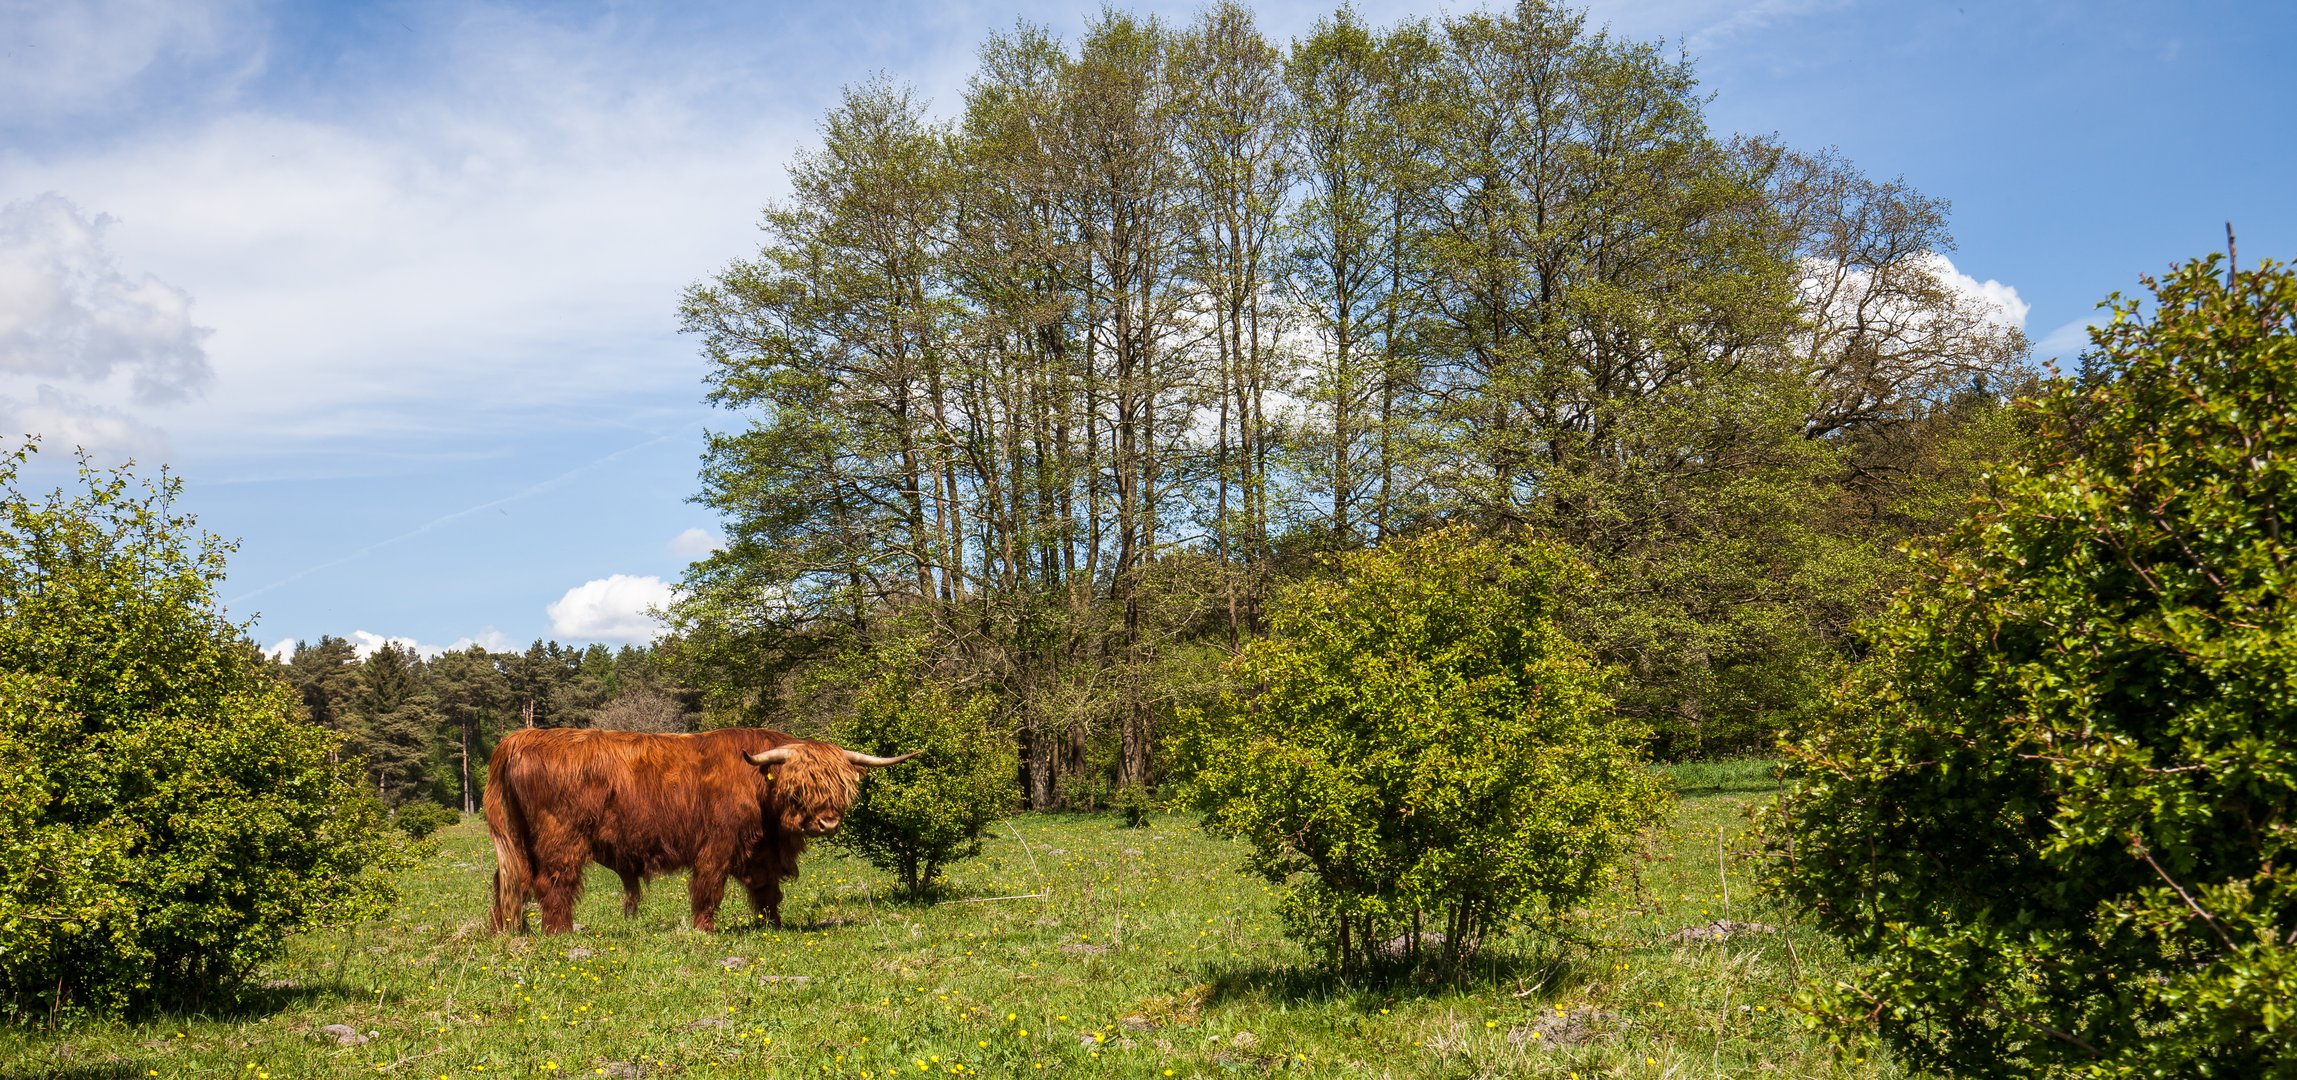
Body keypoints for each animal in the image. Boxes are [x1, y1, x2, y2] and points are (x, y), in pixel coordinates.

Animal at [484, 726, 914, 937]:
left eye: (841, 787)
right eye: (799, 787)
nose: (828, 822)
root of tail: (523, 736)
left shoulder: (760, 851)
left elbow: (767, 892)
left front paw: (772, 927)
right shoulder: (717, 843)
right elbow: (709, 886)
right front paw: (705, 930)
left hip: (521, 839)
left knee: (509, 881)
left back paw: (507, 930)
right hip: (562, 837)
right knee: (554, 882)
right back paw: (559, 933)